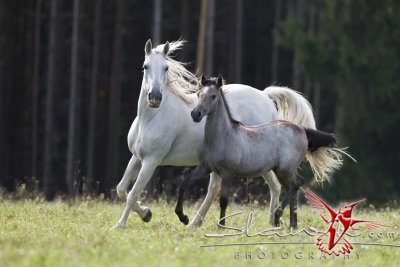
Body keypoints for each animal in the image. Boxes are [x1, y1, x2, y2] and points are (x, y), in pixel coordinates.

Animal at [191, 75, 338, 228]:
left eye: (213, 96)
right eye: (198, 94)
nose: (196, 114)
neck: (226, 135)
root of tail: (302, 129)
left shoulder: (226, 172)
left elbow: (223, 200)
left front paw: (221, 226)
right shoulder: (208, 167)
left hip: (284, 169)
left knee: (295, 184)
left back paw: (278, 216)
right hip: (281, 171)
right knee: (292, 186)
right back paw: (291, 223)